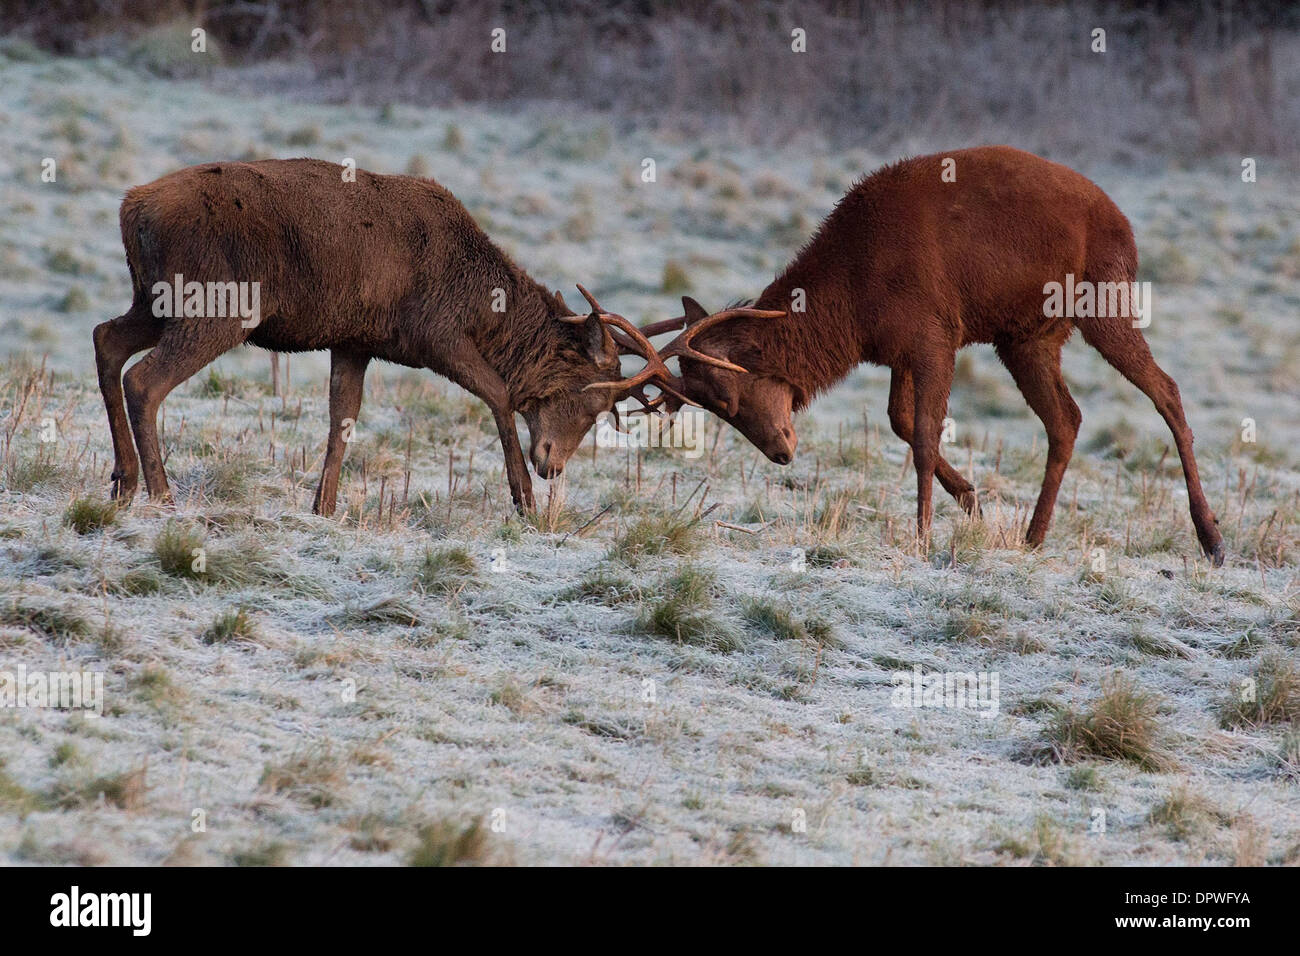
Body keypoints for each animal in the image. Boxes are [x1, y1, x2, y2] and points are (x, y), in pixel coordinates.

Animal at [89, 158, 670, 520]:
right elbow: (499, 393)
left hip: (154, 300)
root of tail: (131, 209)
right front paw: (523, 501)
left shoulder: (355, 339)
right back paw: (161, 494)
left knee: (105, 338)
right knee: (145, 379)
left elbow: (342, 416)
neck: (478, 300)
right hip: (216, 304)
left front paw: (323, 507)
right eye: (589, 398)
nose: (552, 465)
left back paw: (124, 481)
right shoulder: (434, 333)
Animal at [624, 145, 1222, 564]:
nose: (781, 451)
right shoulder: (900, 351)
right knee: (1067, 419)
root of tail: (1127, 228)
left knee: (1166, 390)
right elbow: (900, 422)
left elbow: (926, 434)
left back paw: (1211, 538)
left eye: (727, 394)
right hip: (1027, 339)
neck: (853, 308)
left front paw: (924, 534)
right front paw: (974, 503)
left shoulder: (936, 334)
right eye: (706, 404)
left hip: (1105, 300)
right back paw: (1033, 536)